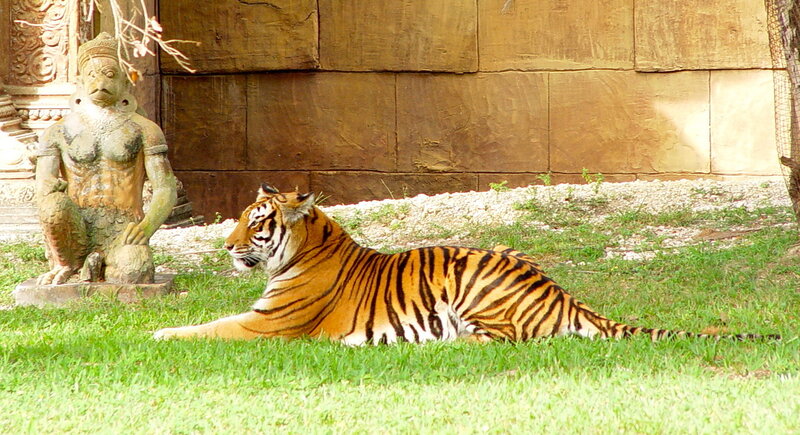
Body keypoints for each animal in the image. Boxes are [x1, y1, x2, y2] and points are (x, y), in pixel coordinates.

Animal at [153, 183, 781, 344]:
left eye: (255, 222)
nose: (225, 245)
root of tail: (561, 293)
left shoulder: (266, 325)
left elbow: (205, 329)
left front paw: (157, 333)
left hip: (476, 292)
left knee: (502, 341)